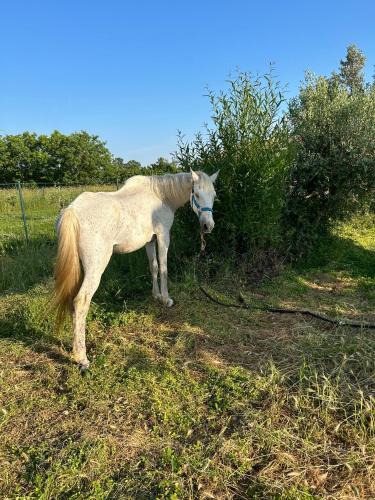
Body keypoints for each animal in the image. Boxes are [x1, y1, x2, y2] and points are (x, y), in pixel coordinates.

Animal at [51, 170, 219, 370]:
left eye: (214, 195)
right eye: (197, 194)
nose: (208, 227)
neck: (160, 195)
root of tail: (72, 211)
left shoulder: (150, 240)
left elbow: (154, 267)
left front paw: (156, 295)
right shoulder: (163, 237)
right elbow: (163, 267)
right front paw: (166, 299)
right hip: (95, 268)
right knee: (81, 301)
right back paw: (81, 358)